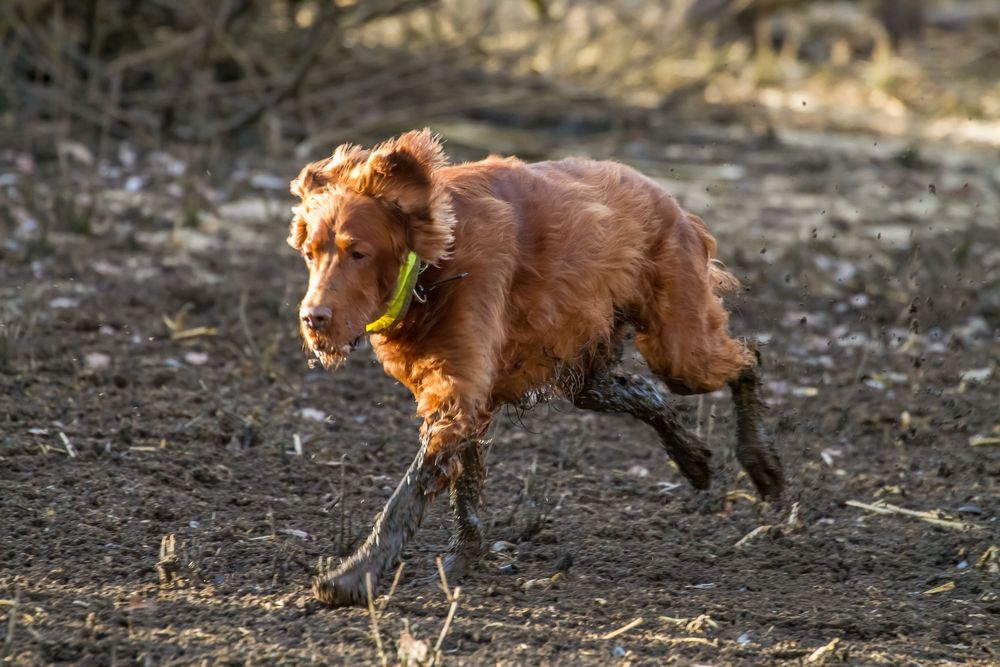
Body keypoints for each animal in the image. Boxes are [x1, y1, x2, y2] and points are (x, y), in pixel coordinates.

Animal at [286, 128, 784, 608]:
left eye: (358, 253)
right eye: (310, 253)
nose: (312, 319)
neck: (434, 265)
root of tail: (668, 198)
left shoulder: (457, 393)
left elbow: (407, 495)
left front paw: (356, 574)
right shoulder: (470, 396)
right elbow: (465, 487)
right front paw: (462, 556)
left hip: (678, 349)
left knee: (749, 359)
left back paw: (762, 462)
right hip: (587, 372)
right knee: (644, 394)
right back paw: (693, 458)